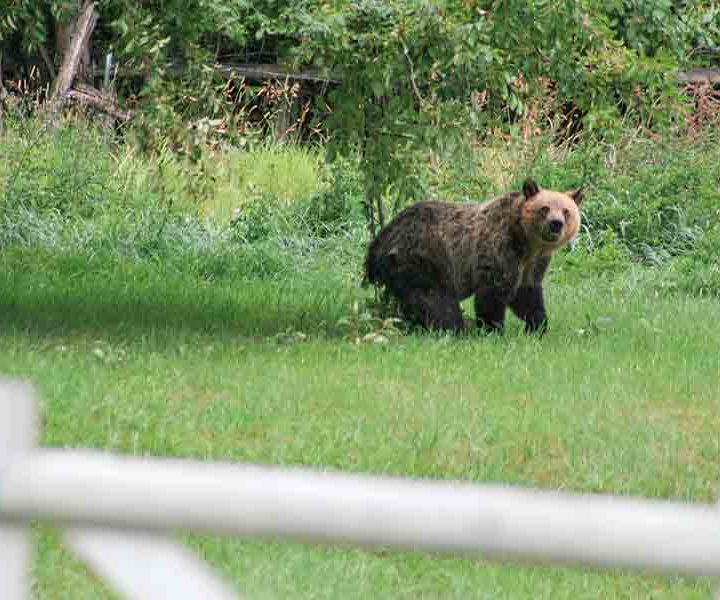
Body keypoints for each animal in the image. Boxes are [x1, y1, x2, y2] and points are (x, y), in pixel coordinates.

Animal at [364, 178, 585, 335]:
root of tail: (379, 240)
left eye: (566, 211)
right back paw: (455, 328)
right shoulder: (498, 250)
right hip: (421, 258)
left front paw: (538, 326)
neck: (526, 242)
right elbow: (492, 294)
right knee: (435, 301)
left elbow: (528, 294)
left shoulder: (533, 263)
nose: (556, 224)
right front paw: (492, 329)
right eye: (544, 208)